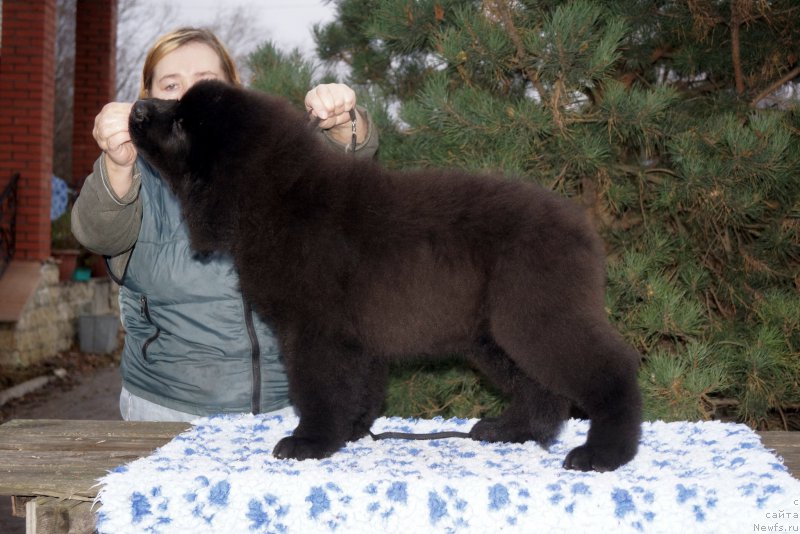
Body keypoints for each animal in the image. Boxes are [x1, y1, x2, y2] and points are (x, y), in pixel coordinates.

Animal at [131, 80, 644, 474]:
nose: (136, 108)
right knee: (539, 388)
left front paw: (310, 442)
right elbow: (358, 386)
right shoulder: (353, 337)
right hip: (496, 333)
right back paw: (509, 430)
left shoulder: (314, 331)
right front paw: (354, 430)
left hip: (534, 314)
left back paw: (604, 453)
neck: (276, 198)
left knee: (610, 369)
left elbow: (316, 388)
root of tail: (579, 227)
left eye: (181, 124)